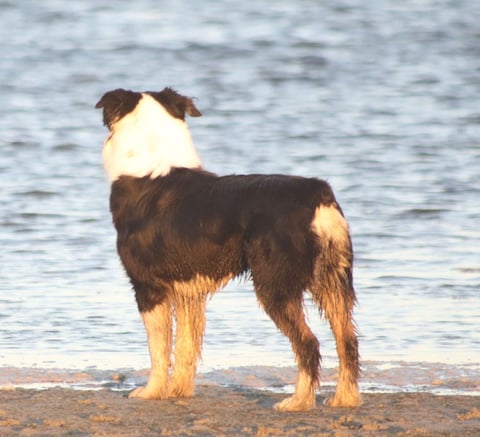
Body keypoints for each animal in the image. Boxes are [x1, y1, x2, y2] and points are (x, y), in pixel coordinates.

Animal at [94, 87, 360, 408]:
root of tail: (317, 194)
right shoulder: (188, 290)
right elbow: (185, 347)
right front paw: (179, 391)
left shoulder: (147, 287)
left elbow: (158, 348)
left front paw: (151, 392)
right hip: (332, 279)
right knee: (347, 339)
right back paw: (345, 398)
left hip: (275, 285)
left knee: (309, 343)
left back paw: (297, 402)